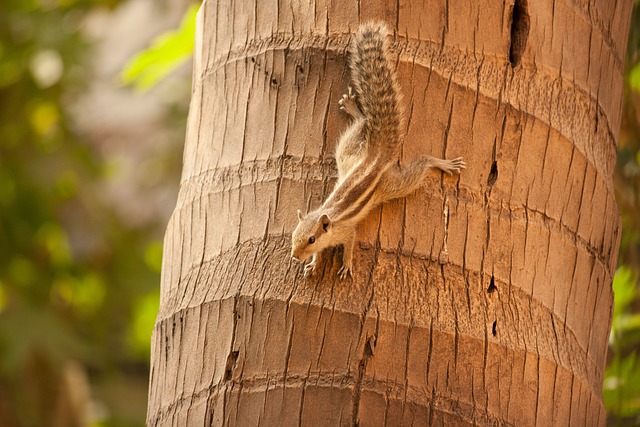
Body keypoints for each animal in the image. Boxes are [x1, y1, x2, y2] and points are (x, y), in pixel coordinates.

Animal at [292, 22, 464, 280]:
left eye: (311, 238)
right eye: (294, 234)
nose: (294, 256)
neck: (331, 218)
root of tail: (376, 156)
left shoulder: (346, 231)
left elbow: (349, 245)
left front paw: (346, 265)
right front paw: (313, 263)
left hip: (392, 185)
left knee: (421, 164)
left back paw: (442, 163)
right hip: (347, 154)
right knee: (363, 122)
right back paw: (353, 108)